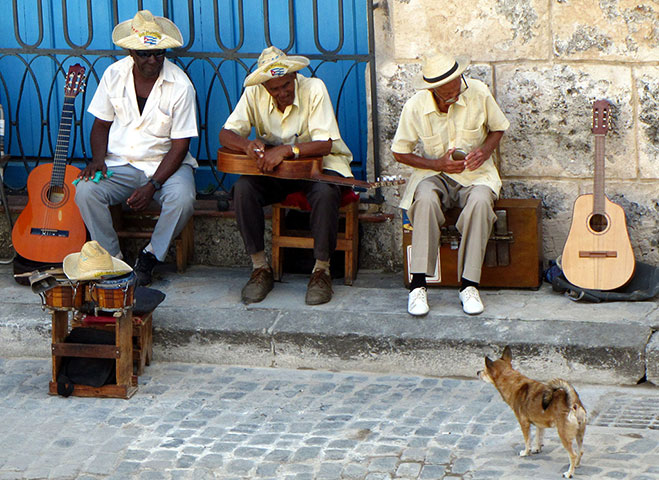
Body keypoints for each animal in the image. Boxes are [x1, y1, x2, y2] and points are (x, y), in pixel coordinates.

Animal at [476, 344, 592, 476]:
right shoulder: (539, 423)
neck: (512, 382)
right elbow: (538, 436)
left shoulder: (524, 423)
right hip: (580, 433)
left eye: (484, 370)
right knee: (581, 451)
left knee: (573, 454)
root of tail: (572, 402)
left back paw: (569, 473)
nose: (477, 372)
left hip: (564, 435)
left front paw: (526, 452)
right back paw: (576, 465)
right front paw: (537, 448)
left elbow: (527, 441)